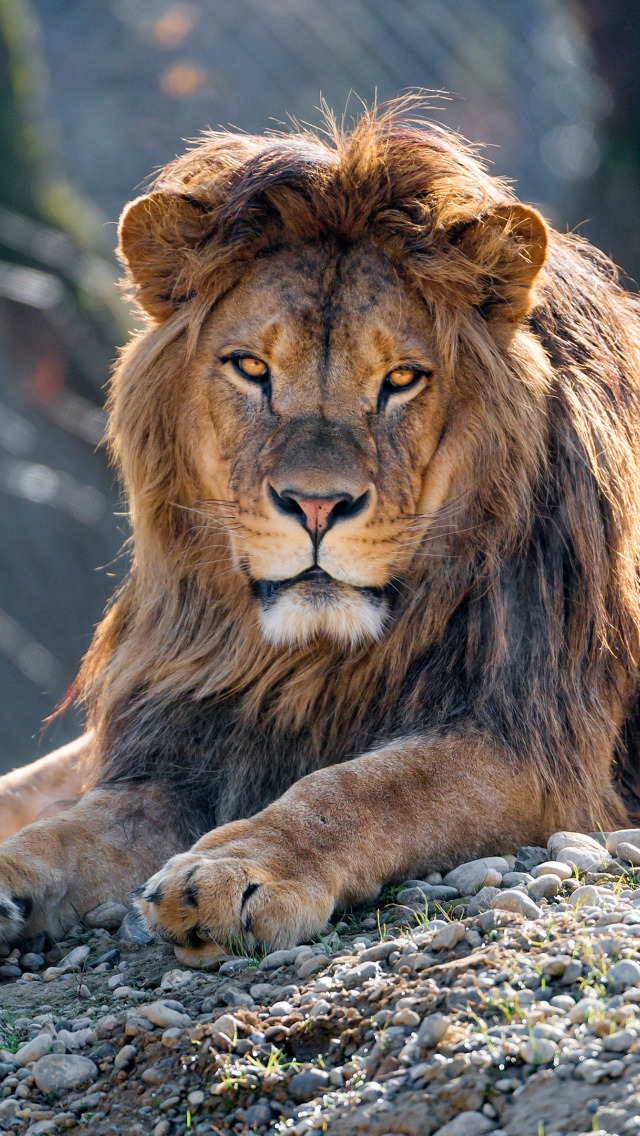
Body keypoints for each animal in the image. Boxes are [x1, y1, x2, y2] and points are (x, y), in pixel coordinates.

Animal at [0, 102, 640, 963]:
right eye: (250, 368)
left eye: (401, 379)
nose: (313, 506)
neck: (313, 660)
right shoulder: (188, 737)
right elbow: (72, 828)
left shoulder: (534, 744)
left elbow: (368, 787)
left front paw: (236, 866)